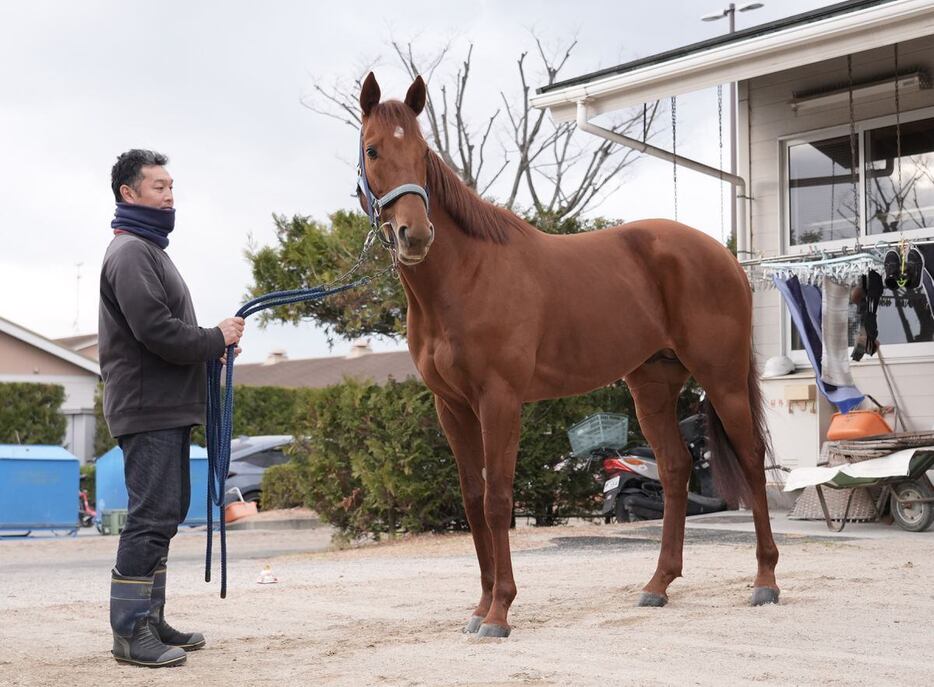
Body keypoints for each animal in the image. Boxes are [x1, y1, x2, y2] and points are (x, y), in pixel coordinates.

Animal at [354, 72, 780, 636]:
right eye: (373, 149)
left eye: (423, 153)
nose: (415, 235)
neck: (464, 277)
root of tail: (723, 256)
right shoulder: (454, 407)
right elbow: (471, 499)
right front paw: (479, 608)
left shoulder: (499, 400)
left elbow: (497, 499)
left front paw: (500, 612)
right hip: (652, 387)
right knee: (674, 467)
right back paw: (657, 585)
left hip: (723, 378)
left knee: (752, 459)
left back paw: (765, 581)